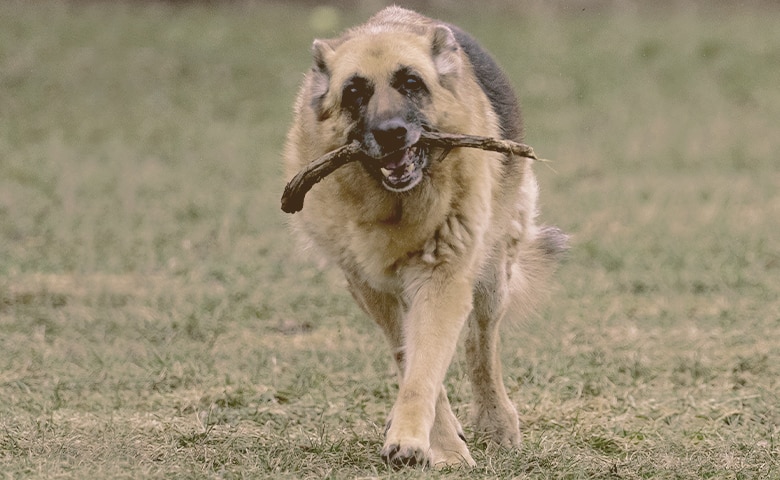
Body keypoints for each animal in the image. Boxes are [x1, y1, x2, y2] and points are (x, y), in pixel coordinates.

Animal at [284, 5, 564, 466]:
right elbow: (409, 360)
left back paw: (497, 421)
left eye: (411, 83)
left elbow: (425, 370)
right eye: (355, 92)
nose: (391, 133)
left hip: (492, 278)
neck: (396, 205)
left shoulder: (443, 280)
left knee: (481, 346)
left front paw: (422, 441)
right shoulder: (371, 288)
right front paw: (441, 443)